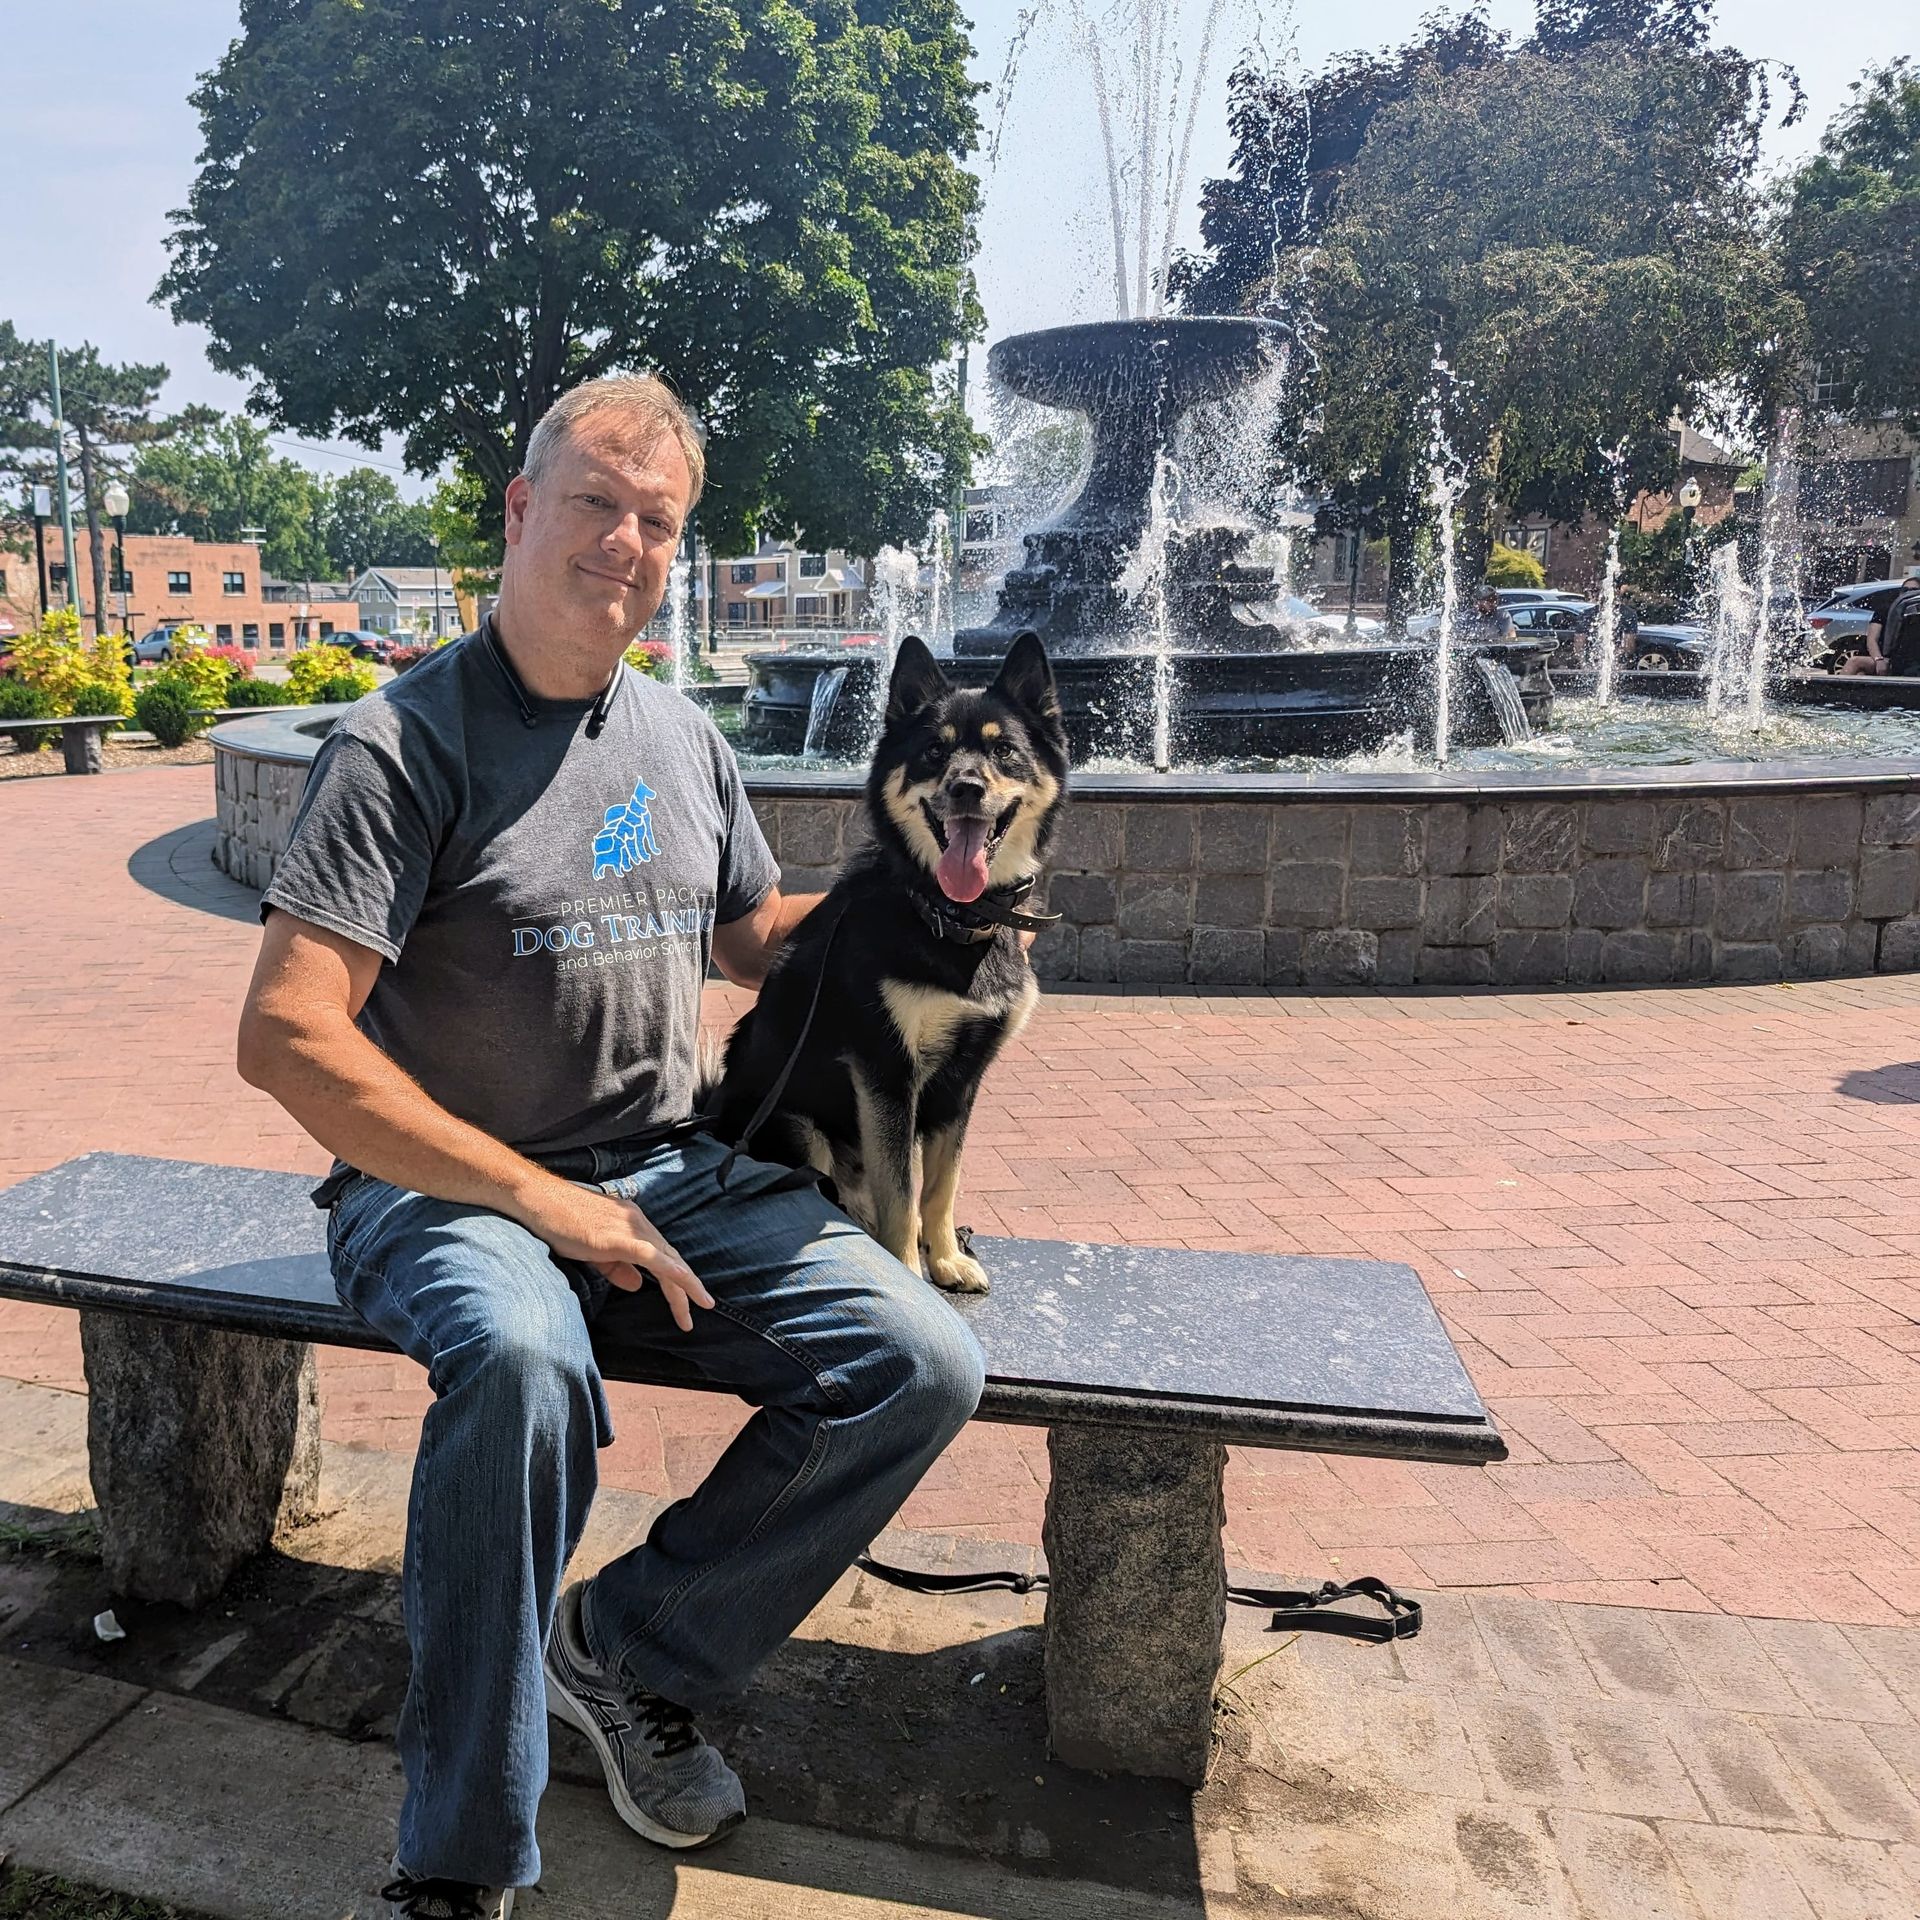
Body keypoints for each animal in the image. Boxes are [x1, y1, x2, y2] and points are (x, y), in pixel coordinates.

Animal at [706, 629, 1067, 1290]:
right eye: (932, 751)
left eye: (1004, 752)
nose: (967, 789)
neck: (950, 920)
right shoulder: (885, 1072)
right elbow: (900, 1191)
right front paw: (909, 1267)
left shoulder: (962, 1079)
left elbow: (940, 1184)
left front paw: (945, 1257)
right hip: (797, 1127)